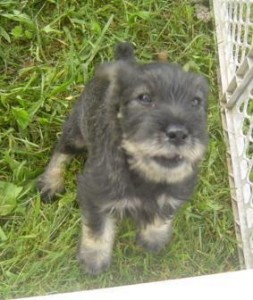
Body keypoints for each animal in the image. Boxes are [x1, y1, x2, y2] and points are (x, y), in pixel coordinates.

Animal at [37, 42, 208, 274]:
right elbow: (98, 227)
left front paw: (154, 237)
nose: (179, 134)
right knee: (62, 150)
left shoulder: (177, 190)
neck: (144, 175)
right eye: (144, 98)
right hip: (78, 130)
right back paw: (51, 182)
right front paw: (94, 258)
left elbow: (164, 211)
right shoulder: (95, 193)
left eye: (196, 102)